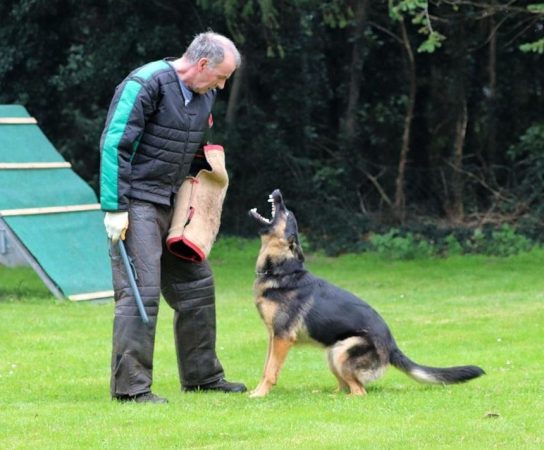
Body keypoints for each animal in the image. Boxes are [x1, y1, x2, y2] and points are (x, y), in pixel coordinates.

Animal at [249, 190, 482, 398]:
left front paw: (260, 394)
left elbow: (270, 371)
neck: (282, 270)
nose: (278, 193)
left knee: (360, 391)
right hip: (332, 353)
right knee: (347, 386)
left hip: (342, 352)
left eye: (287, 213)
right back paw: (328, 395)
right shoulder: (273, 336)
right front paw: (256, 391)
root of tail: (392, 346)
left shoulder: (282, 338)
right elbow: (265, 367)